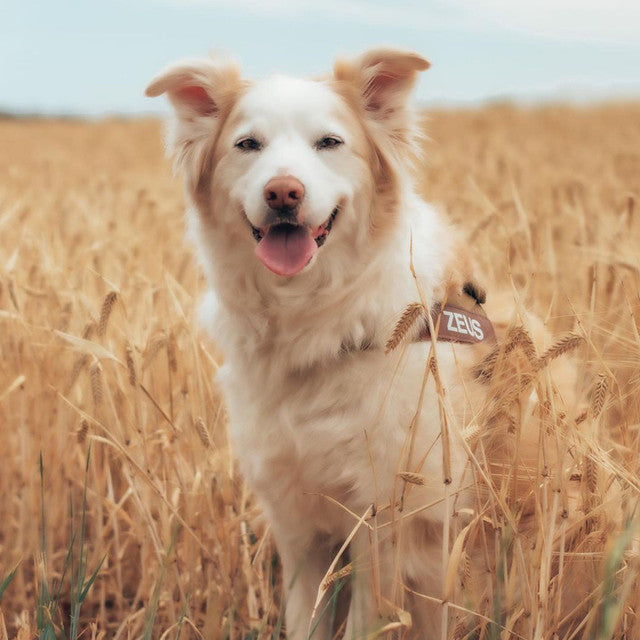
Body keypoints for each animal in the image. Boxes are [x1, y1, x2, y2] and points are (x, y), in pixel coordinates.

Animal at [148, 50, 588, 640]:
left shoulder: (386, 526)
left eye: (329, 142)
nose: (282, 192)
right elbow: (304, 620)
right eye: (247, 144)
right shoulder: (298, 525)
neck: (317, 322)